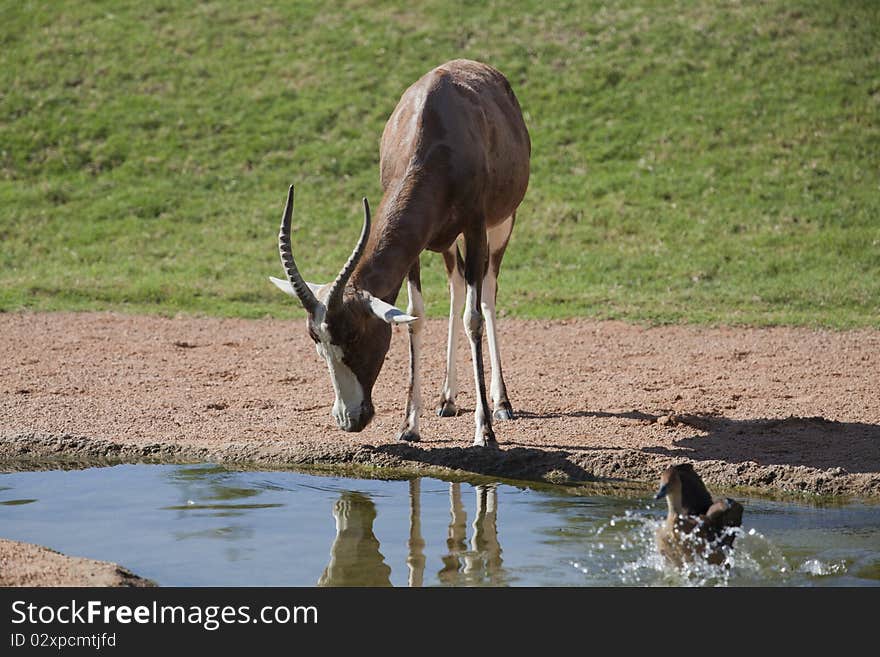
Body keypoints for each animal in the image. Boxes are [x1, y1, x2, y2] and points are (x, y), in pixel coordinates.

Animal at [270, 60, 528, 446]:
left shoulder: (476, 225)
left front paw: (484, 432)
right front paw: (409, 426)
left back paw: (501, 404)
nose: (349, 419)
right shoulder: (415, 247)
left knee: (486, 293)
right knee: (456, 285)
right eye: (316, 339)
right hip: (446, 242)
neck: (434, 124)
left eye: (354, 334)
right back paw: (447, 399)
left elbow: (474, 318)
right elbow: (414, 316)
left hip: (501, 224)